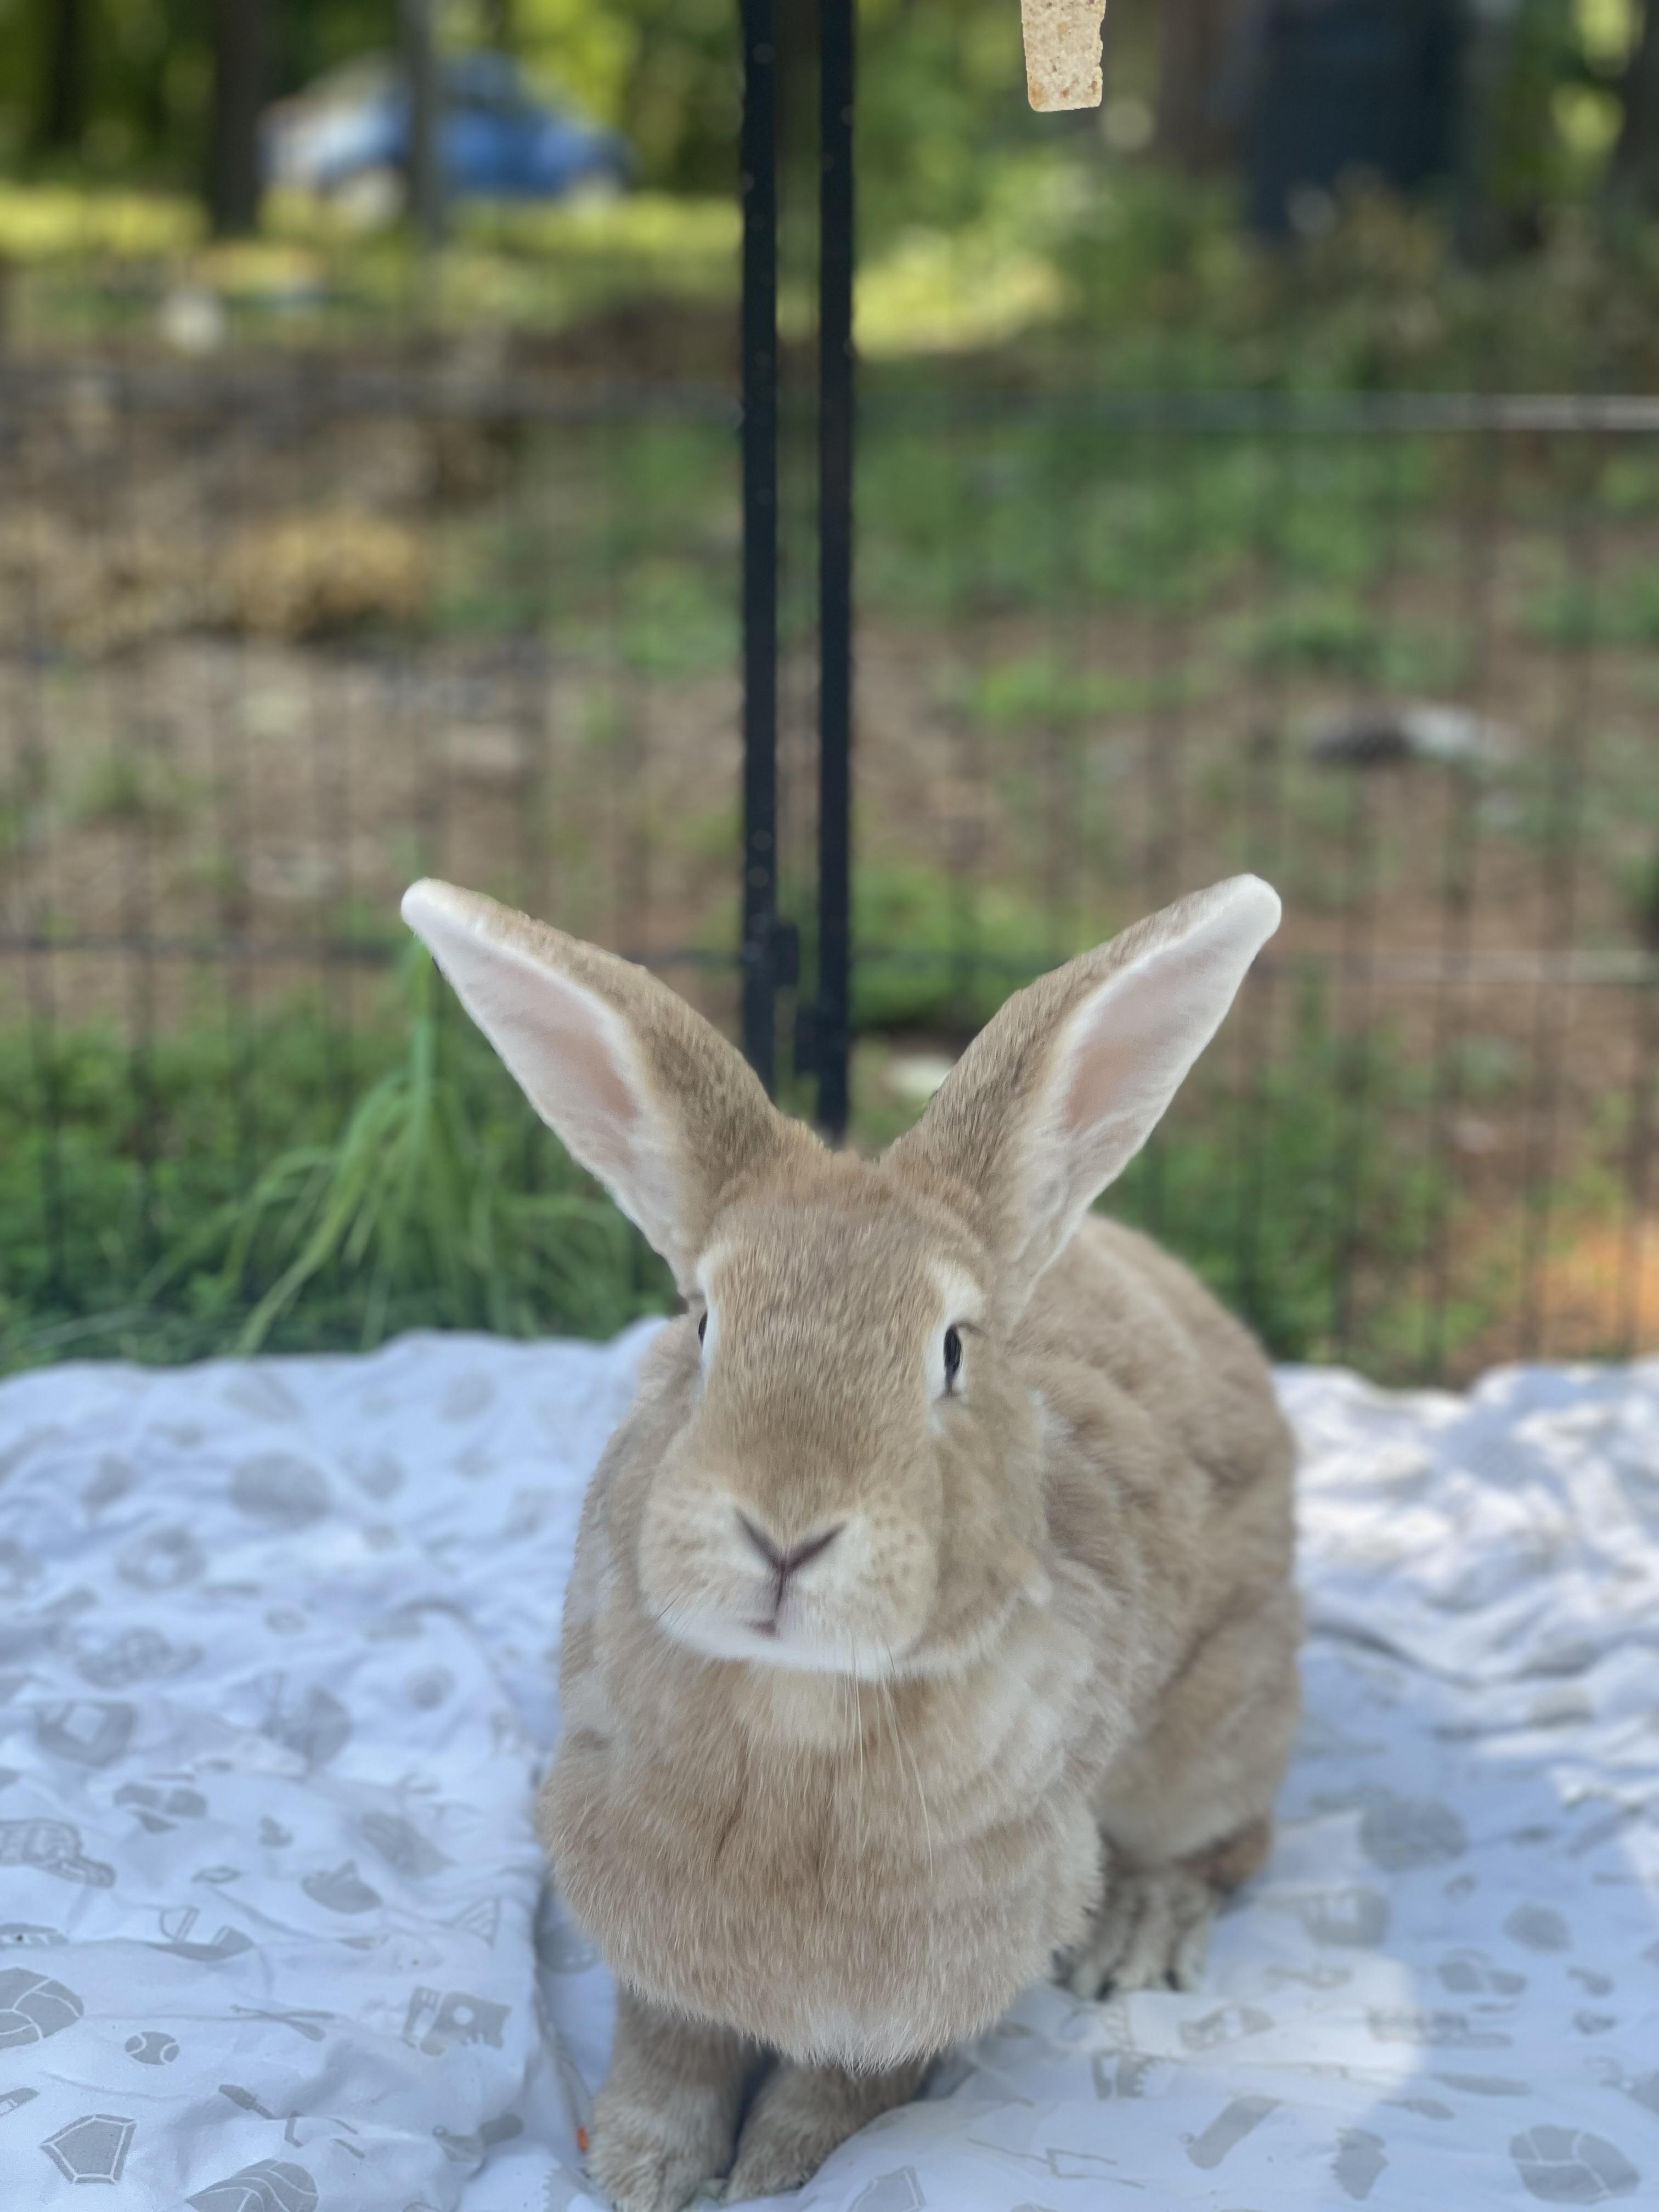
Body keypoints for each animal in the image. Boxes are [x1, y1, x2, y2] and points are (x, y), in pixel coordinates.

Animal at [401, 872, 1300, 2212]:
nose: (785, 1533)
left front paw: (776, 2174)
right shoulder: (644, 1900)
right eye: (703, 1326)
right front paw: (640, 2171)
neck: (799, 1702)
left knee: (1232, 1844)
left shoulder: (917, 1970)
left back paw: (1137, 1935)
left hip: (1211, 1734)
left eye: (952, 1351)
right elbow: (667, 2047)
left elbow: (844, 2085)